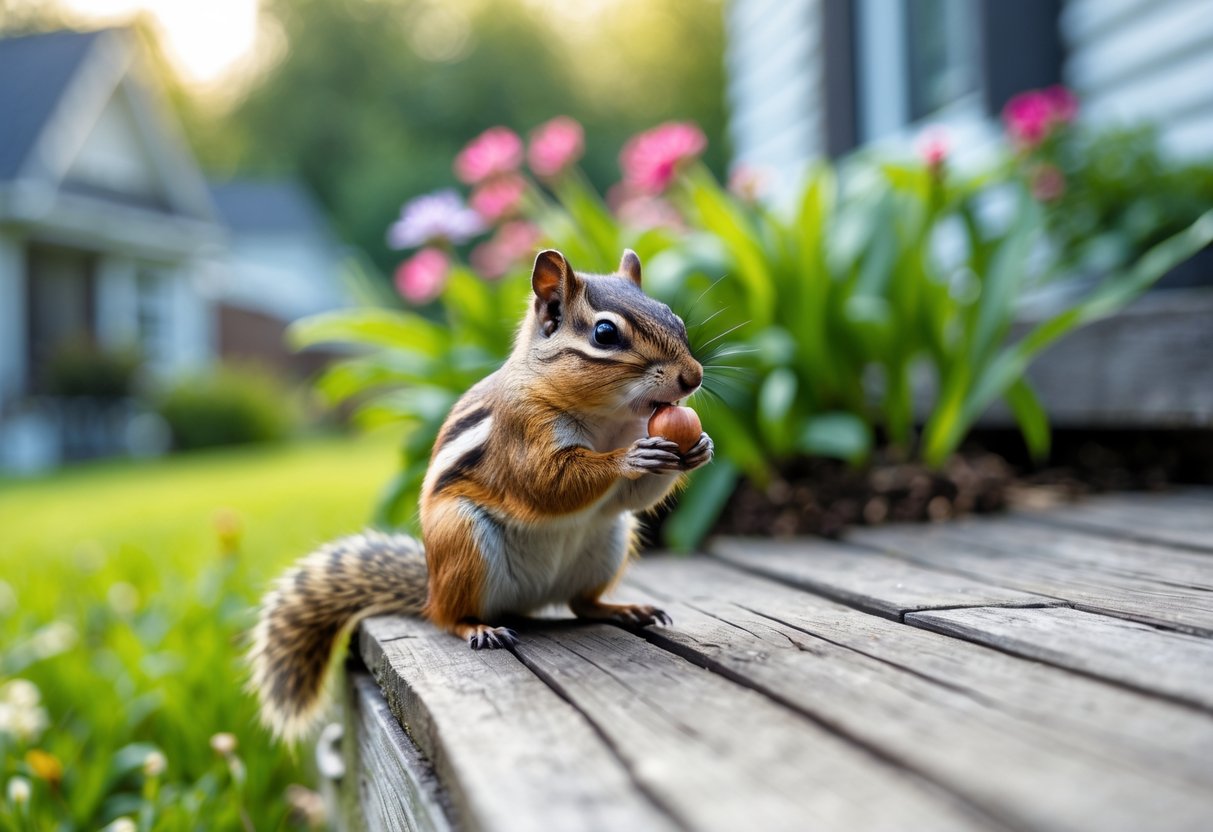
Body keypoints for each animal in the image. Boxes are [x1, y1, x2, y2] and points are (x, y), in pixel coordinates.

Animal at [250, 248, 713, 740]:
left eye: (673, 316)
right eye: (605, 334)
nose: (693, 377)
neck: (608, 419)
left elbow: (632, 498)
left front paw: (698, 448)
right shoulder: (521, 434)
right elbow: (548, 484)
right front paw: (628, 458)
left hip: (607, 542)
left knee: (582, 604)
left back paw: (625, 609)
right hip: (463, 540)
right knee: (449, 617)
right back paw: (478, 628)